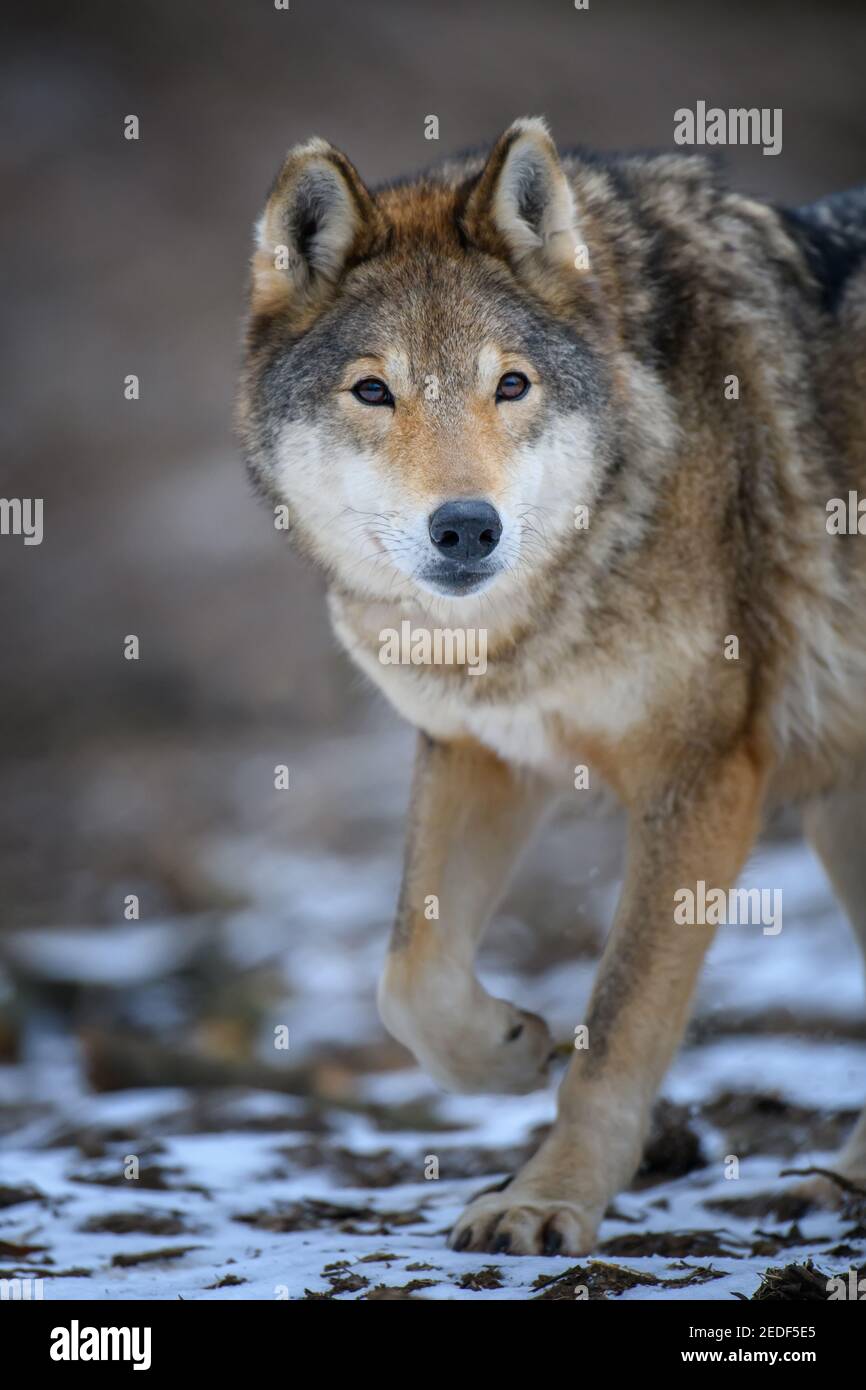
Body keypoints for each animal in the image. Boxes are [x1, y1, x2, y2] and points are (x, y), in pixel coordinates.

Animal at [240, 113, 866, 1256]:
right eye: (373, 391)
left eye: (511, 385)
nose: (466, 527)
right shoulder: (479, 752)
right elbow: (408, 977)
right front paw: (509, 1046)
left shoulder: (704, 779)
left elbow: (618, 1030)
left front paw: (548, 1198)